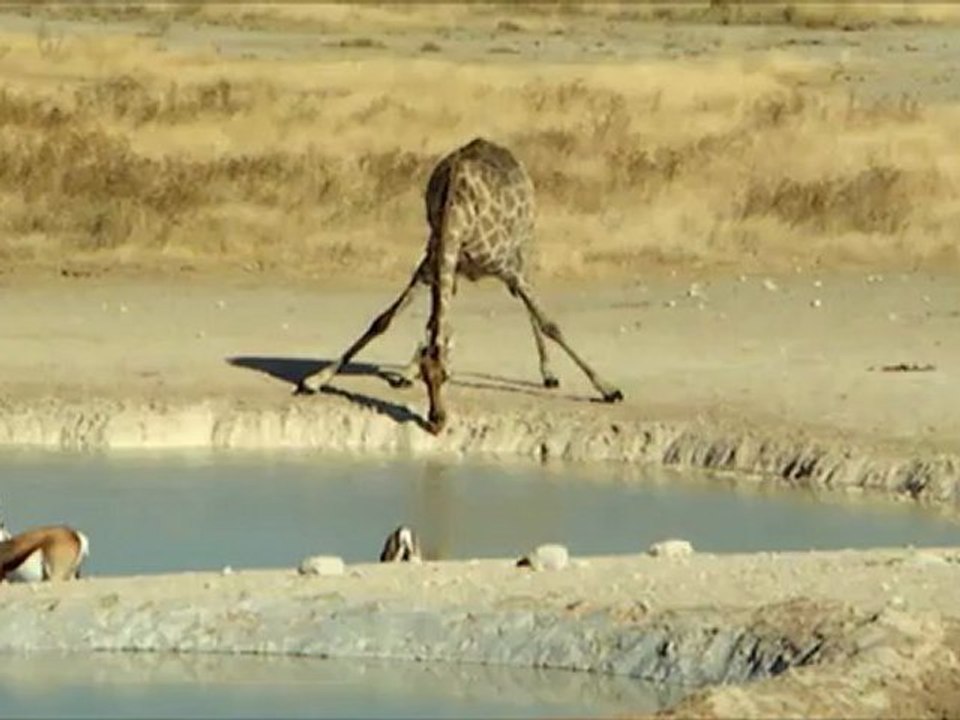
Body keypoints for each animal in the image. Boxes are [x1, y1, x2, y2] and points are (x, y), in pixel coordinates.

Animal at [297, 137, 624, 434]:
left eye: (448, 377)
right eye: (429, 378)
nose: (436, 422)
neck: (458, 212)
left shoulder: (506, 268)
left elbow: (550, 324)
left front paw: (608, 389)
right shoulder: (431, 264)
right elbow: (385, 320)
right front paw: (316, 380)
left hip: (523, 244)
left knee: (530, 305)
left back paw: (549, 373)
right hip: (454, 268)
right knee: (439, 321)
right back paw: (405, 372)